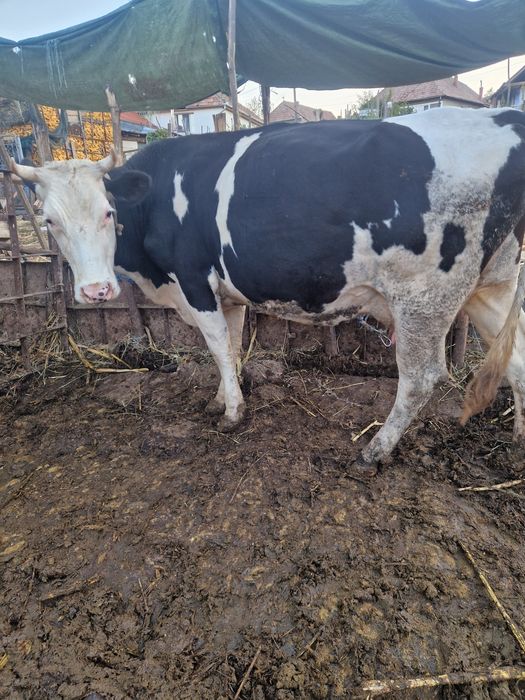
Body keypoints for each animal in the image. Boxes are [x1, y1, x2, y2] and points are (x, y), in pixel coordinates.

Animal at [11, 107, 525, 475]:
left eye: (108, 212)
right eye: (49, 220)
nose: (97, 290)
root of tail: (504, 119)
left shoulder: (194, 280)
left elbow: (218, 346)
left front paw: (232, 413)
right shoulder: (227, 293)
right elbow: (234, 345)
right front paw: (223, 397)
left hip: (424, 298)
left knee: (421, 377)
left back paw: (373, 451)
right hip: (492, 286)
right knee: (517, 359)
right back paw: (519, 442)